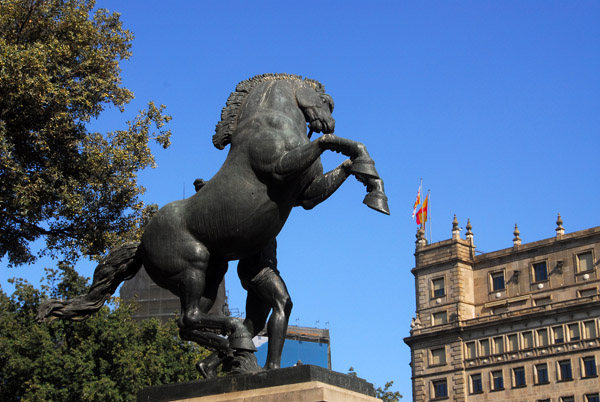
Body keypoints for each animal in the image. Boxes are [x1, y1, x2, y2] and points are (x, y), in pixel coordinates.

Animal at [39, 74, 392, 376]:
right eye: (326, 101)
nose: (328, 121)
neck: (269, 123)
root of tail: (141, 242)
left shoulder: (307, 195)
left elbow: (340, 158)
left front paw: (372, 187)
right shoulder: (279, 168)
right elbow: (333, 142)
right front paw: (372, 183)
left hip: (211, 278)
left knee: (192, 323)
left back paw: (232, 359)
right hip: (194, 265)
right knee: (192, 317)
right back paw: (237, 344)